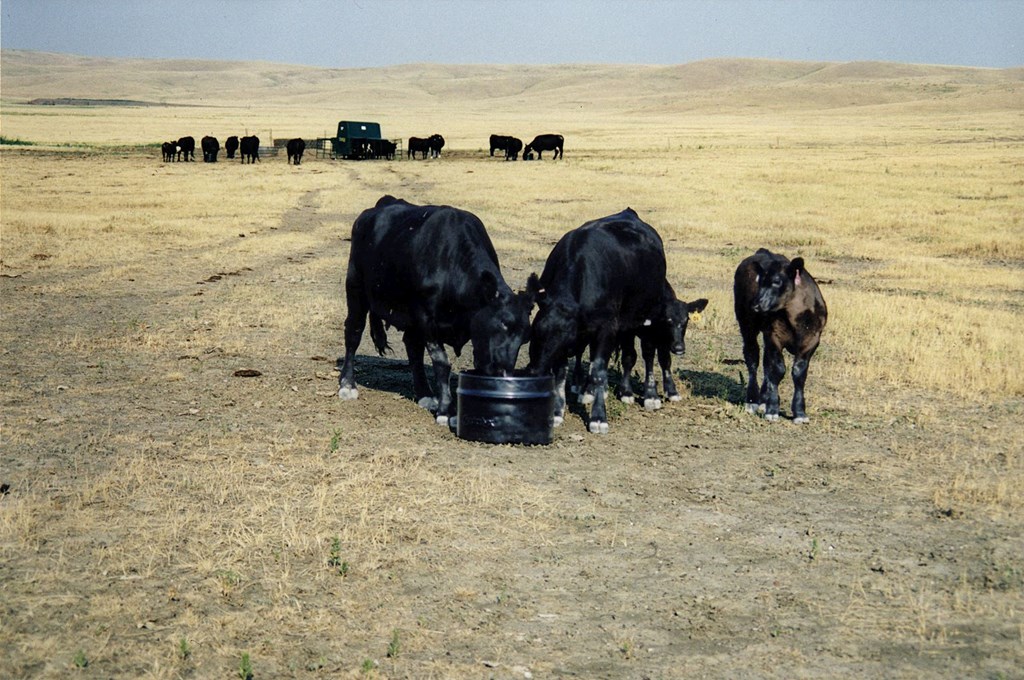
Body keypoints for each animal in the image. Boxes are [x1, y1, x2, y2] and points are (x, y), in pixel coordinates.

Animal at [337, 193, 544, 421]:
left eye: (525, 338)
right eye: (499, 326)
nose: (503, 374)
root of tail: (382, 205)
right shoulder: (426, 317)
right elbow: (441, 362)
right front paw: (445, 410)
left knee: (412, 347)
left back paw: (425, 394)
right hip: (355, 286)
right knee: (353, 331)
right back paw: (347, 384)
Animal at [528, 206, 704, 432]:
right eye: (535, 332)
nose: (536, 372)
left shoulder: (607, 328)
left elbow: (599, 371)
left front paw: (598, 417)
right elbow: (561, 373)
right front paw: (558, 413)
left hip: (644, 318)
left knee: (646, 355)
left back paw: (649, 395)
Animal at [733, 246, 827, 421]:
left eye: (776, 282)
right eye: (759, 281)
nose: (755, 305)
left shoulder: (812, 340)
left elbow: (799, 373)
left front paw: (799, 412)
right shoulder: (774, 337)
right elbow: (777, 369)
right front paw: (772, 409)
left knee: (764, 362)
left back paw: (763, 399)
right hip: (746, 324)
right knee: (752, 357)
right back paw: (753, 401)